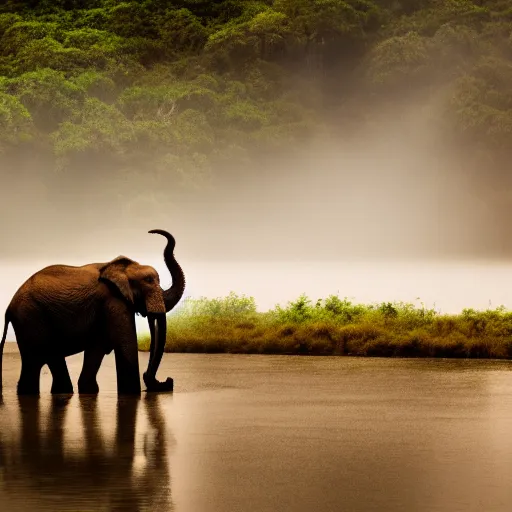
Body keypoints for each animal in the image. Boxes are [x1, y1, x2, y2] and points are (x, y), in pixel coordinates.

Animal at [0, 230, 184, 394]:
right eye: (149, 280)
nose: (168, 381)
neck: (120, 268)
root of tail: (8, 308)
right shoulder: (113, 301)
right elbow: (125, 345)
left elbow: (97, 346)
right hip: (30, 317)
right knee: (35, 361)